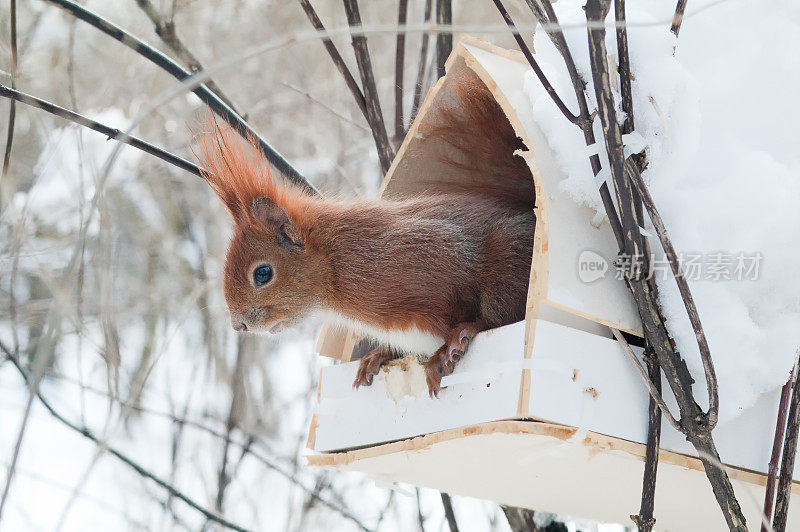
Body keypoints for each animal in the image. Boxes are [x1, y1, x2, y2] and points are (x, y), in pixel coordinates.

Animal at [196, 78, 536, 394]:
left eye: (263, 273)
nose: (238, 325)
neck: (337, 266)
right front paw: (377, 355)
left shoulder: (439, 251)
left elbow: (477, 310)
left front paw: (447, 345)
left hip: (510, 259)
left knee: (501, 309)